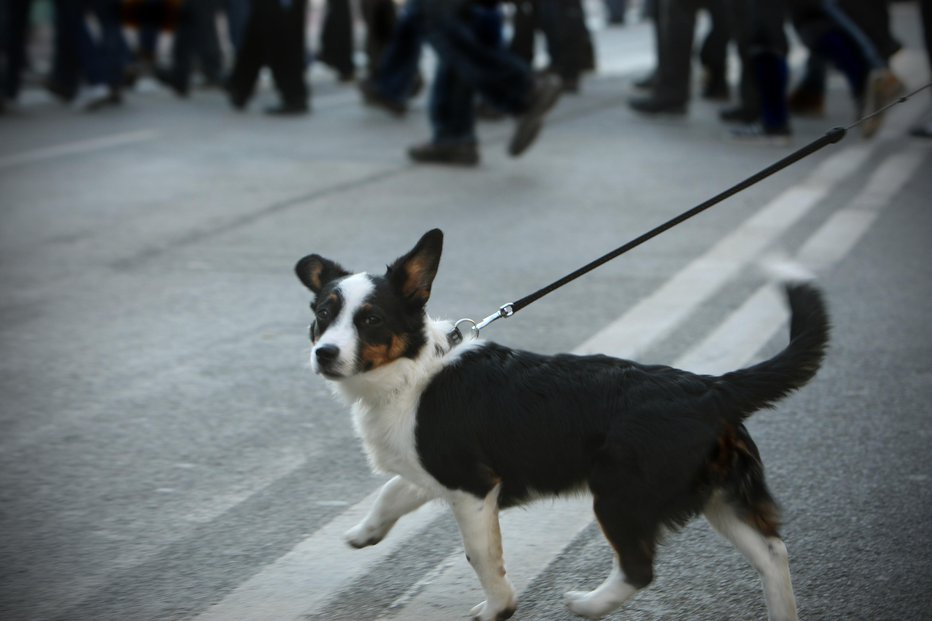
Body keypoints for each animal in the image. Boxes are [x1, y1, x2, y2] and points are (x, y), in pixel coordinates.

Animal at [294, 229, 828, 620]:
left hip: (619, 496)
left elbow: (481, 556)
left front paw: (498, 608)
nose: (324, 354)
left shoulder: (473, 488)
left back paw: (588, 604)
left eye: (371, 320)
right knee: (773, 555)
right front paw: (365, 533)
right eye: (323, 313)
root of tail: (713, 387)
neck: (411, 371)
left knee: (639, 569)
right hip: (721, 497)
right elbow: (393, 492)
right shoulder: (439, 473)